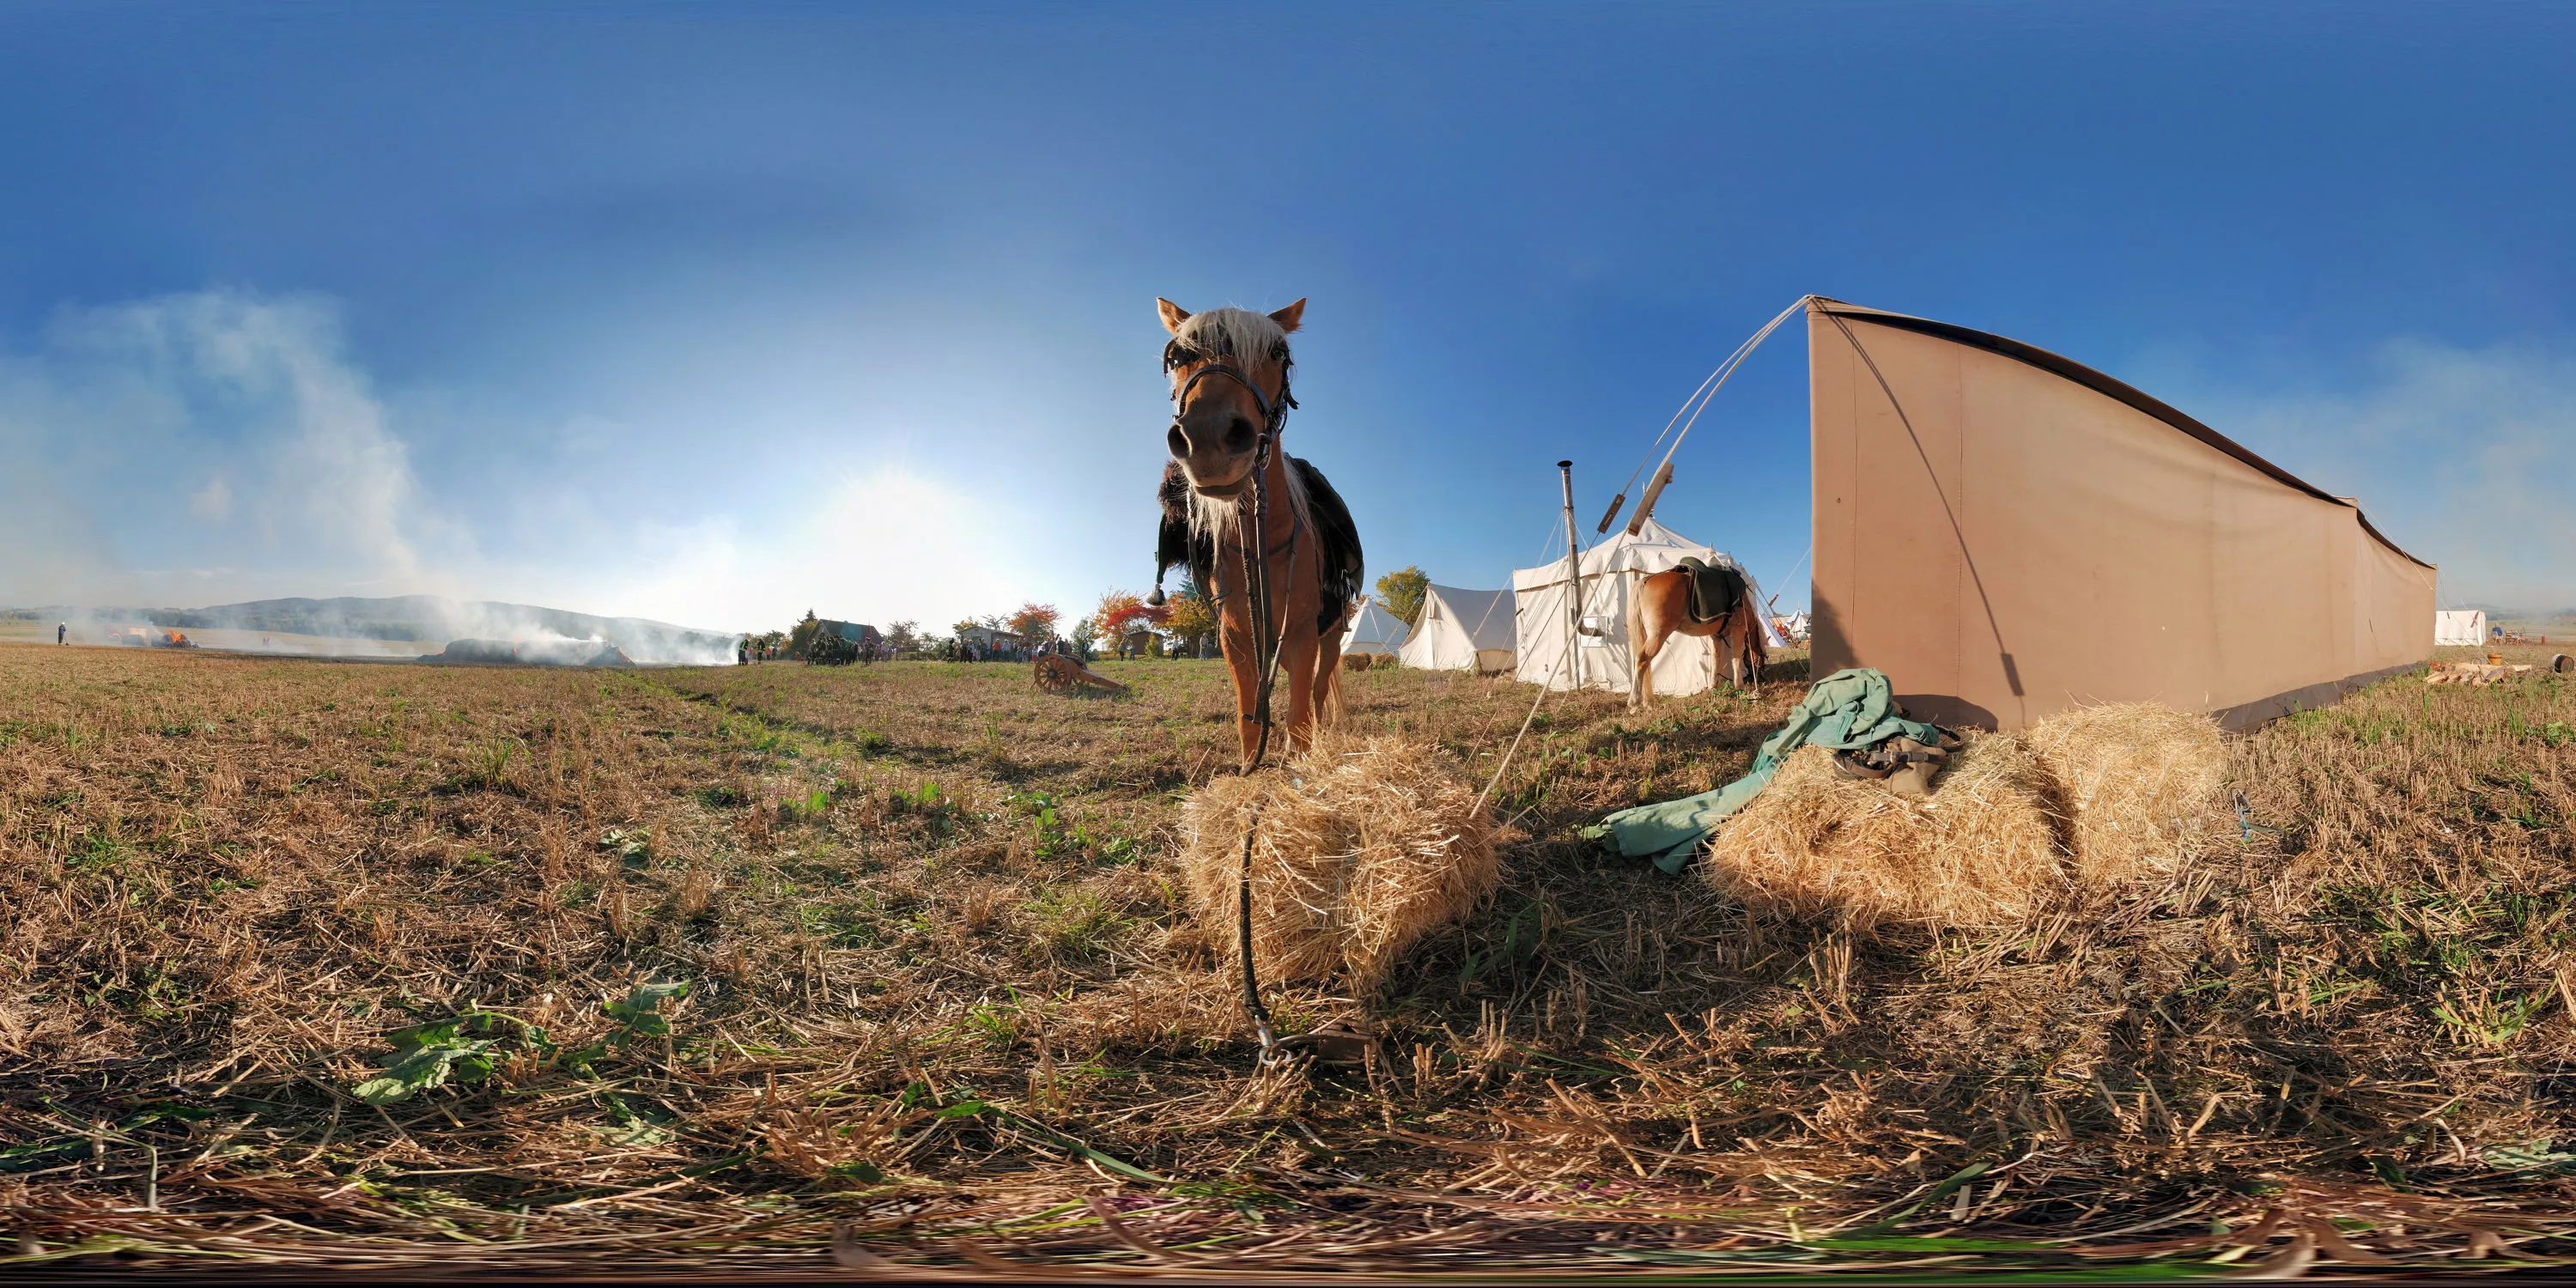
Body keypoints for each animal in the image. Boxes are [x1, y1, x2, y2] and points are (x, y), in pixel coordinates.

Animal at [1150, 298, 1364, 770]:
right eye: (1177, 358)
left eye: (1278, 355)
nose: (1209, 438)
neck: (1262, 543)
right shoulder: (1235, 638)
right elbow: (1249, 720)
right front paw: (1252, 764)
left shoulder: (1302, 634)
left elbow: (1300, 718)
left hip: (1331, 638)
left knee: (1317, 693)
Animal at [1625, 561, 1767, 708]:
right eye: (1762, 659)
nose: (1762, 678)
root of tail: (1647, 580)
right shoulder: (1738, 630)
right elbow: (1736, 659)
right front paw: (1739, 687)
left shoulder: (1716, 637)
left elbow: (1716, 661)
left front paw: (1712, 687)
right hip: (1657, 636)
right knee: (1642, 660)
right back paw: (1635, 701)